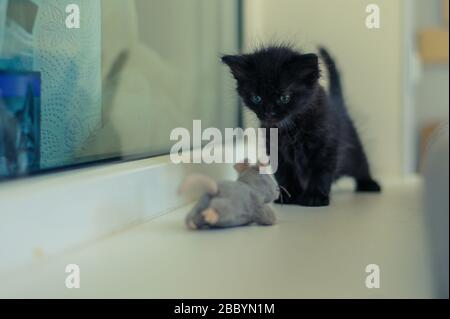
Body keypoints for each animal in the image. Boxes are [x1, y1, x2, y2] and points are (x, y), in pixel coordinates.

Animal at [221, 45, 380, 208]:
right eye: (256, 98)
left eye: (284, 98)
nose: (269, 113)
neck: (291, 127)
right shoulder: (277, 151)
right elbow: (284, 175)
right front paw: (290, 196)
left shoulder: (325, 147)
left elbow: (321, 172)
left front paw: (315, 197)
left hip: (353, 151)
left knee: (362, 165)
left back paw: (369, 184)